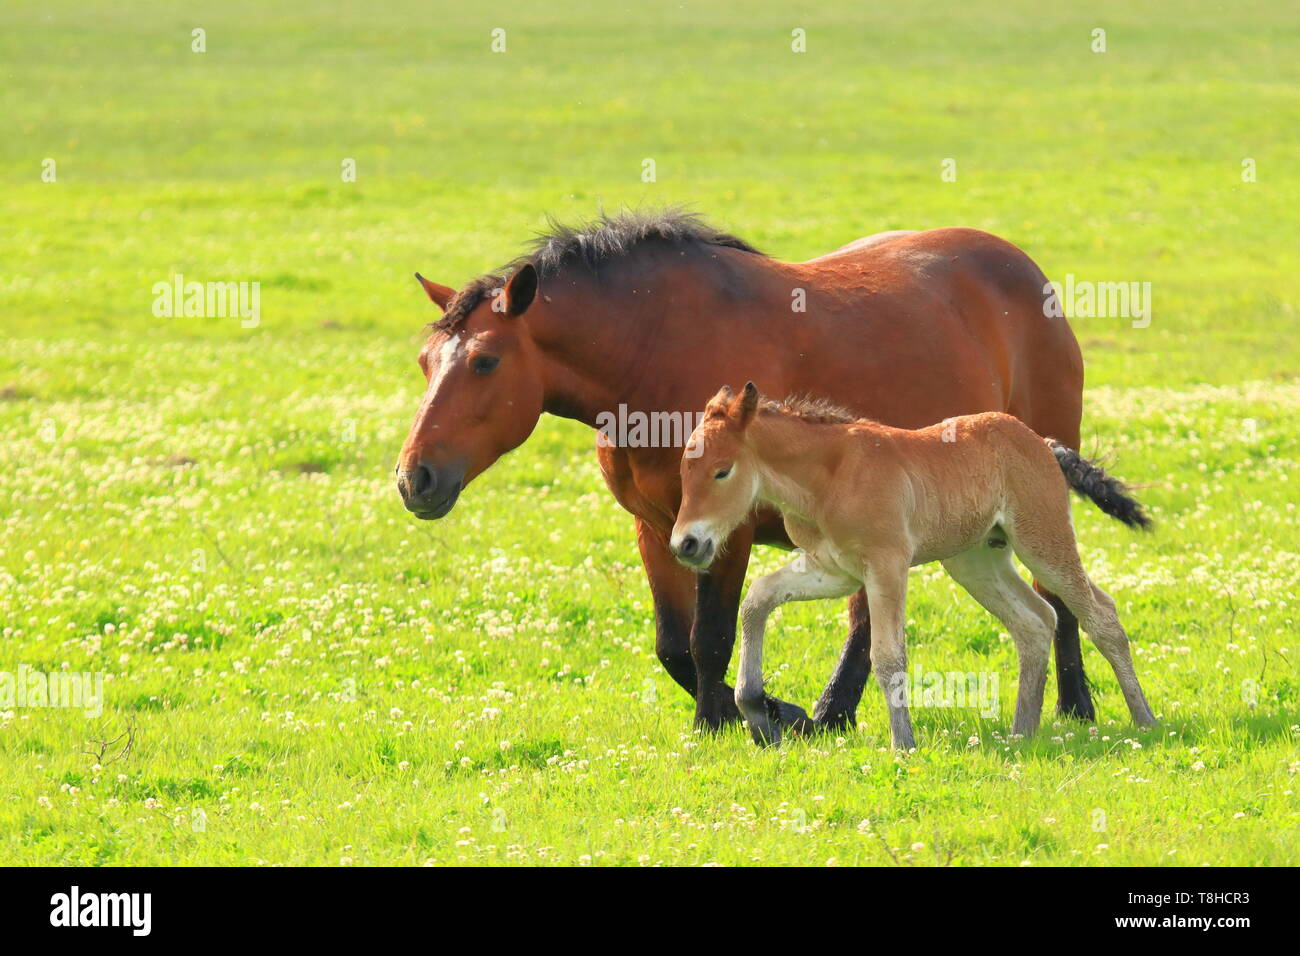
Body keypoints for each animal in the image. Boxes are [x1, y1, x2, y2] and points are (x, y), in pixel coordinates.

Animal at [396, 209, 1094, 733]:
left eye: (484, 361)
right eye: (427, 362)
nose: (413, 479)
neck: (652, 353)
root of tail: (1021, 268)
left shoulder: (725, 533)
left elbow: (709, 638)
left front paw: (725, 722)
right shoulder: (656, 528)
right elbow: (673, 645)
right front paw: (769, 711)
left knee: (1060, 595)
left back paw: (1075, 703)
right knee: (868, 618)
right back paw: (831, 713)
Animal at [670, 383, 1157, 749]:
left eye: (722, 471)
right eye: (683, 472)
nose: (685, 544)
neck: (830, 474)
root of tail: (1043, 442)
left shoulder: (887, 564)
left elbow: (888, 656)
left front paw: (903, 745)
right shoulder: (831, 569)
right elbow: (758, 599)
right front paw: (756, 712)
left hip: (1042, 539)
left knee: (1100, 614)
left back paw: (1145, 720)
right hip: (975, 561)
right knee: (1036, 622)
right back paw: (1022, 733)